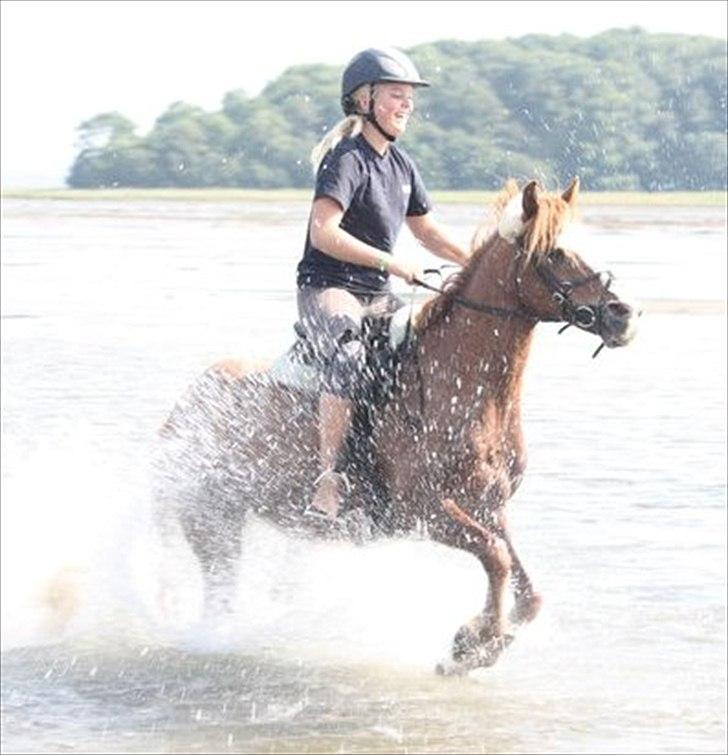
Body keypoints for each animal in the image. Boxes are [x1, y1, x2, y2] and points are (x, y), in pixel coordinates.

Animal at [153, 177, 639, 674]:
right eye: (555, 252)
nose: (622, 315)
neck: (462, 386)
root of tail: (184, 404)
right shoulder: (423, 511)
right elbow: (496, 557)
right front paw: (472, 643)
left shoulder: (490, 506)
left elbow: (525, 588)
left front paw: (479, 641)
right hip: (211, 518)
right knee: (219, 594)